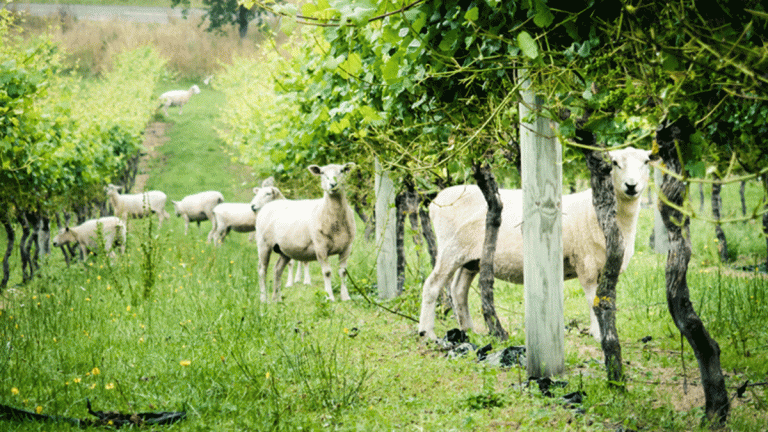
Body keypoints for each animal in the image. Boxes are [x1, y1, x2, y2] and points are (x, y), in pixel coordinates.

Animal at [255, 164, 356, 302]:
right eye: (322, 173)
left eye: (341, 171)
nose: (333, 184)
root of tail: (269, 205)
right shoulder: (320, 247)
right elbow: (327, 272)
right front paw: (329, 296)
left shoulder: (346, 247)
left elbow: (343, 272)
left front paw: (345, 297)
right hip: (263, 244)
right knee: (262, 270)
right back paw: (264, 298)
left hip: (284, 249)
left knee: (277, 269)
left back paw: (277, 298)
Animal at [416, 148, 652, 340]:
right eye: (614, 162)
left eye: (646, 162)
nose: (631, 186)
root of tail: (437, 200)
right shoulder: (585, 263)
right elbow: (591, 299)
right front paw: (598, 333)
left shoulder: (610, 267)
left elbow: (604, 299)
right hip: (450, 249)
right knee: (432, 285)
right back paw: (427, 332)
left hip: (472, 258)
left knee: (458, 290)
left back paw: (469, 330)